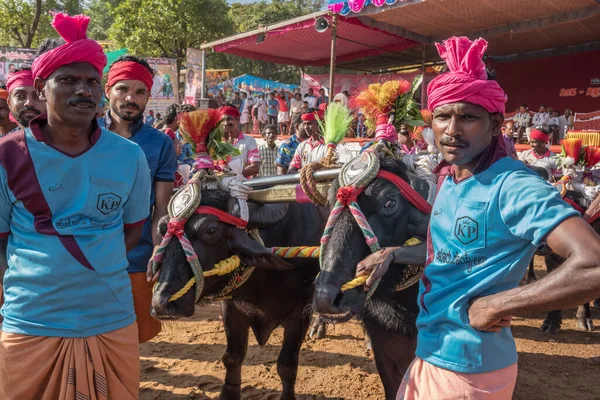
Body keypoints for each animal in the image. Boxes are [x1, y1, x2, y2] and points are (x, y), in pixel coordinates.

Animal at [152, 188, 326, 400]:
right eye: (162, 230)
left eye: (211, 230)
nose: (161, 303)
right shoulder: (230, 309)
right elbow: (232, 358)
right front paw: (229, 392)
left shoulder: (300, 312)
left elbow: (287, 365)